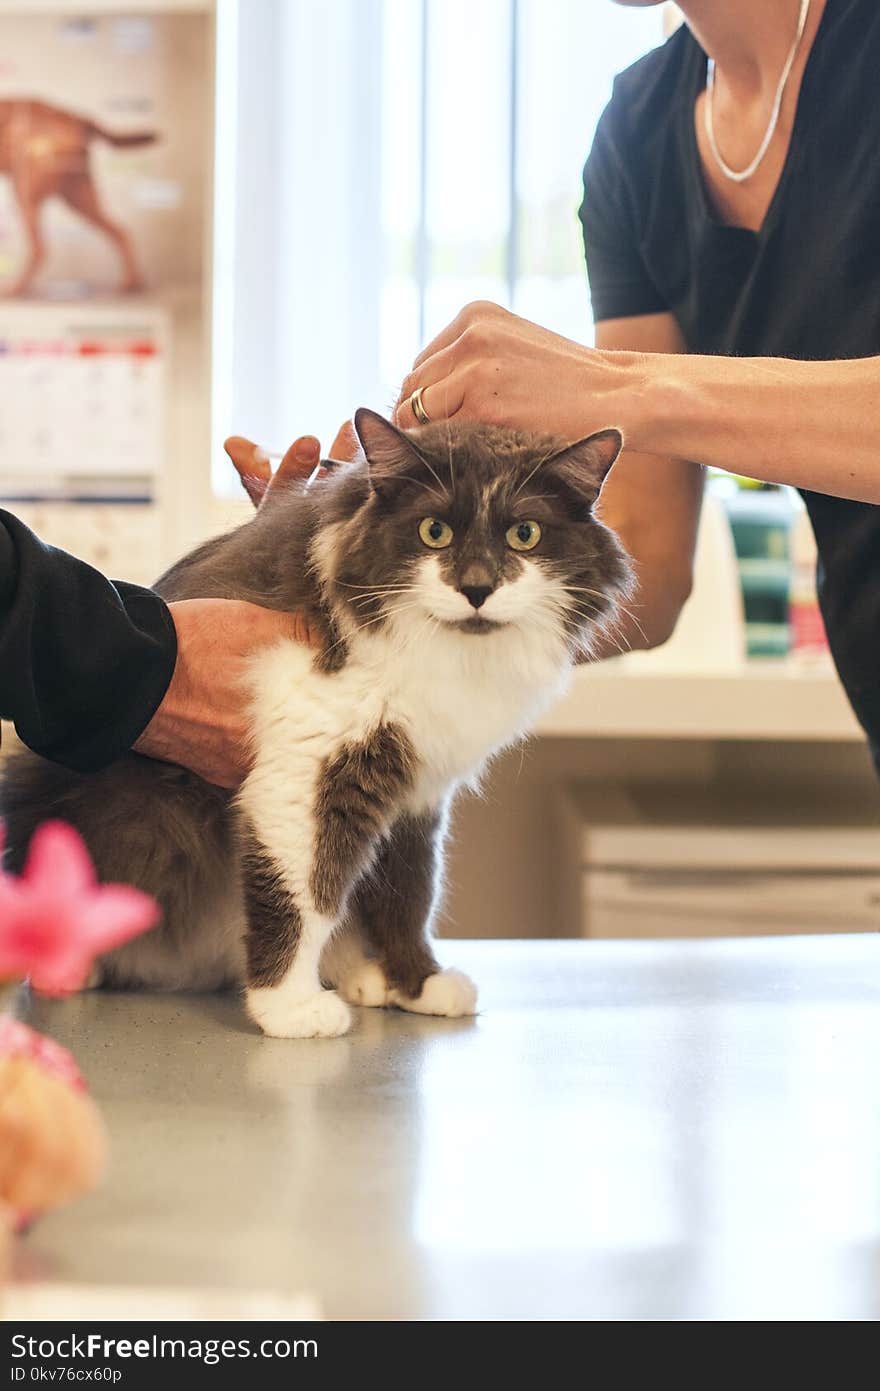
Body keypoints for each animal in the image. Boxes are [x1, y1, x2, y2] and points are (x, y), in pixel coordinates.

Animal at [0, 100, 154, 296]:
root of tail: (75, 116)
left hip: (27, 194)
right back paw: (132, 282)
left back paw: (16, 288)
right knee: (120, 231)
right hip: (78, 197)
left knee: (39, 249)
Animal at [0, 406, 631, 1040]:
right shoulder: (308, 771)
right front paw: (288, 1007)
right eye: (435, 532)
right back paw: (70, 969)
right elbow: (305, 897)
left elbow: (409, 894)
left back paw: (360, 976)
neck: (449, 657)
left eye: (525, 535)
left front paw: (417, 983)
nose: (477, 587)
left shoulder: (418, 790)